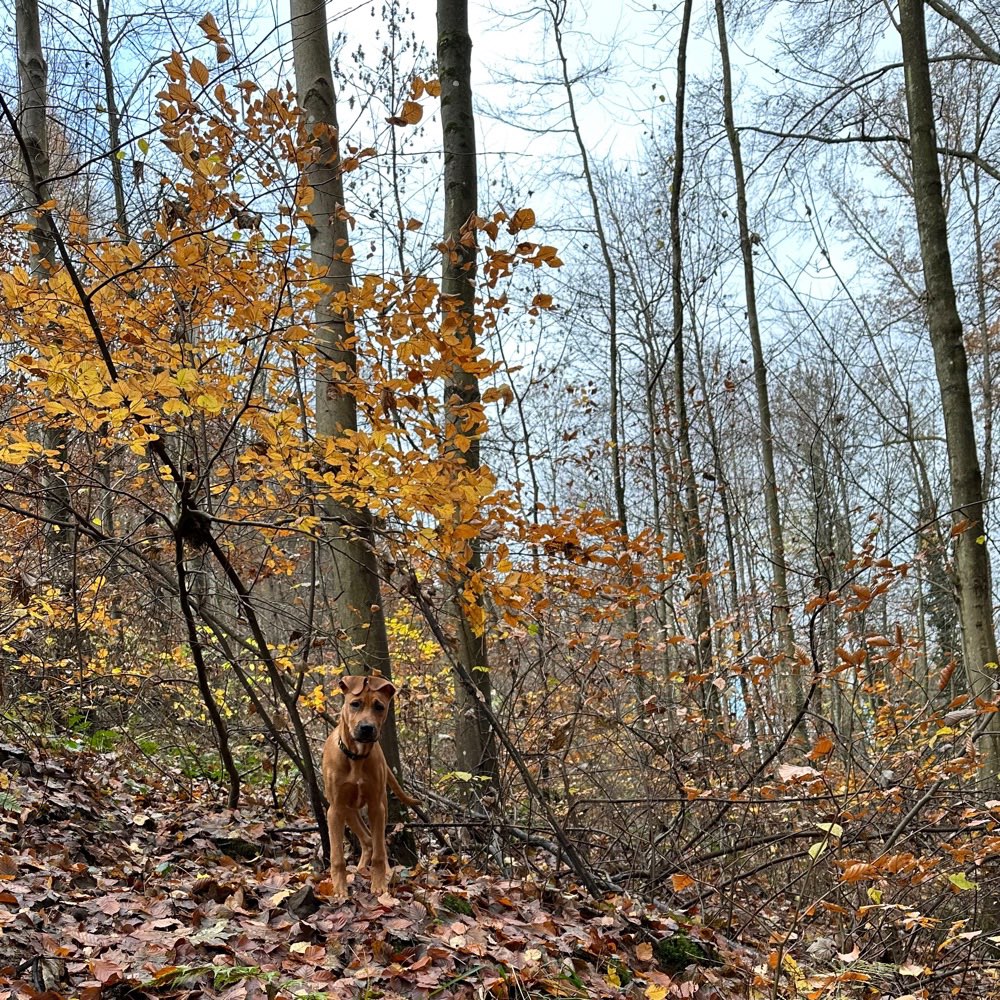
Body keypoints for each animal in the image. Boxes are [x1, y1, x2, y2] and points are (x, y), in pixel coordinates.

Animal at [318, 672, 416, 900]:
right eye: (355, 704)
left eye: (379, 707)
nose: (366, 728)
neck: (356, 757)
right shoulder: (335, 810)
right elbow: (337, 857)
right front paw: (340, 890)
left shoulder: (375, 807)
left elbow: (380, 852)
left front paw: (379, 885)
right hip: (348, 810)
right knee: (367, 839)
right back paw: (361, 869)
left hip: (380, 806)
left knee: (376, 842)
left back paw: (381, 871)